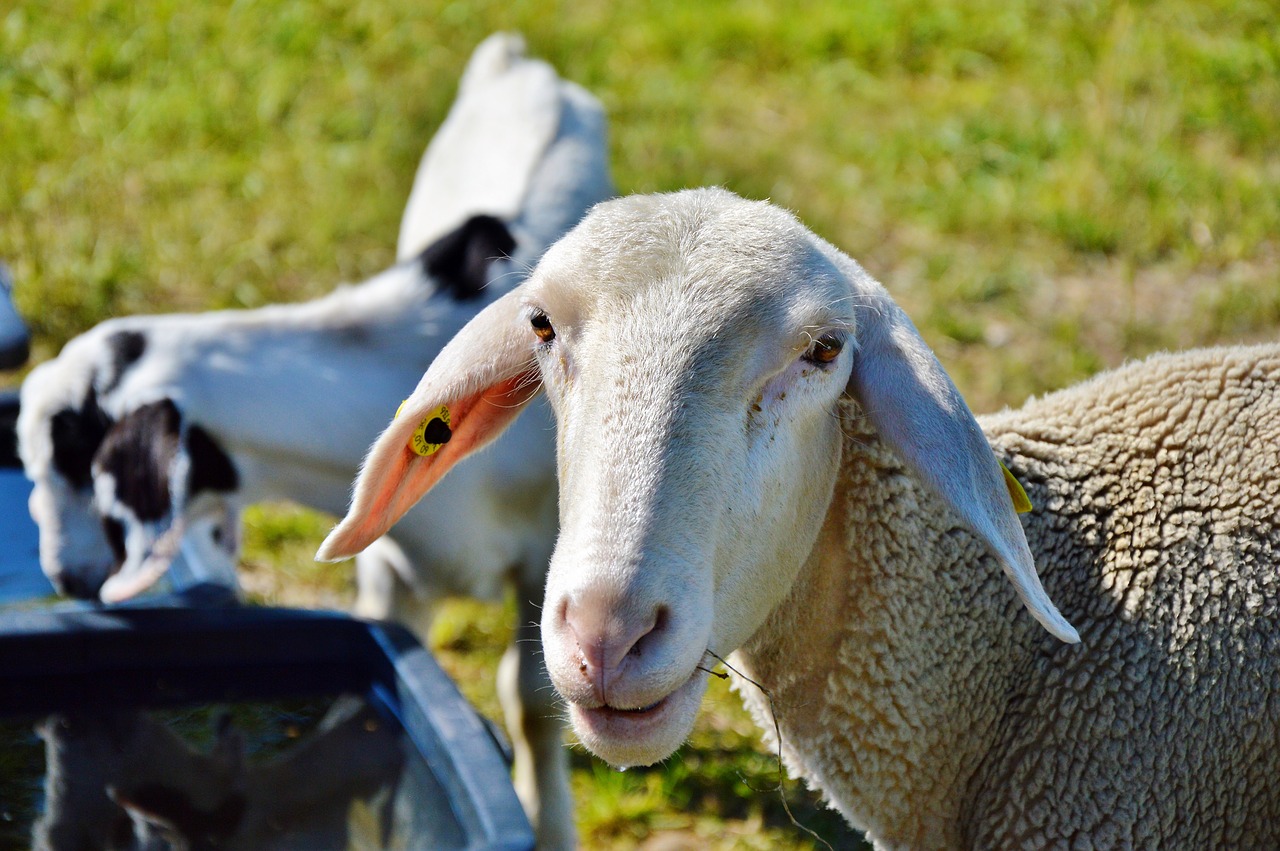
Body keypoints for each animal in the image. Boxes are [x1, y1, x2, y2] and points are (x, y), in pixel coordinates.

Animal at [20, 29, 609, 844]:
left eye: (73, 458)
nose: (67, 581)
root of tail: (516, 60)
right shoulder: (390, 571)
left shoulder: (543, 561)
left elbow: (531, 701)